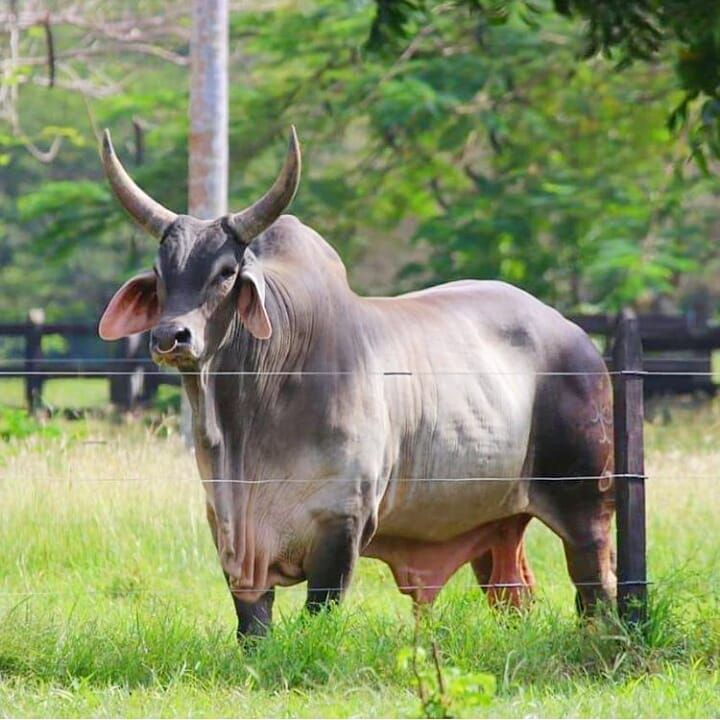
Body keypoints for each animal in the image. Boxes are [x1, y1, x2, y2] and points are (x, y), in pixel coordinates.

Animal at [97, 126, 612, 640]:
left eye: (225, 272)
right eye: (161, 274)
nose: (171, 336)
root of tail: (577, 337)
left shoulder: (342, 521)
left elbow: (319, 612)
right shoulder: (231, 535)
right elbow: (253, 630)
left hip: (587, 502)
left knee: (596, 585)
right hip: (496, 522)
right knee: (514, 595)